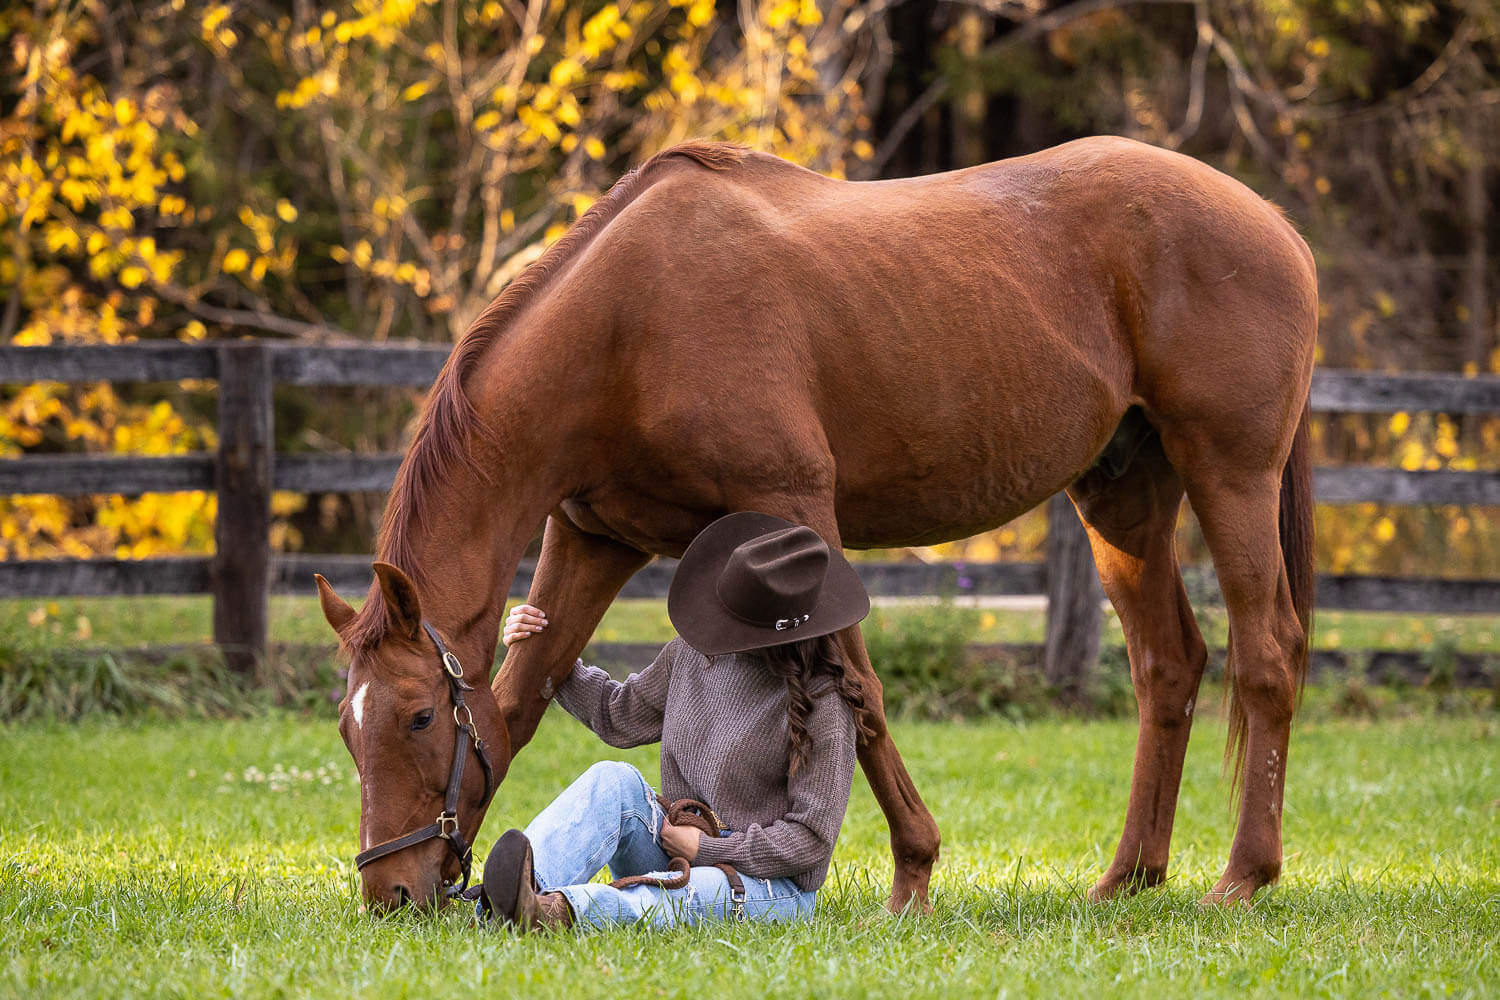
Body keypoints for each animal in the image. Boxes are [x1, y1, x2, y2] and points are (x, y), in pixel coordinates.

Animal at [316, 136, 1317, 913]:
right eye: (346, 726)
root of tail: (1271, 219)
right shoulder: (595, 537)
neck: (629, 326)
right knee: (1168, 667)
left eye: (415, 717)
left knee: (1268, 654)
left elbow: (859, 696)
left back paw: (1242, 877)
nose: (391, 892)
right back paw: (1129, 878)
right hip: (1121, 499)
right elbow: (517, 701)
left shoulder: (797, 511)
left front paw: (913, 874)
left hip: (1229, 474)